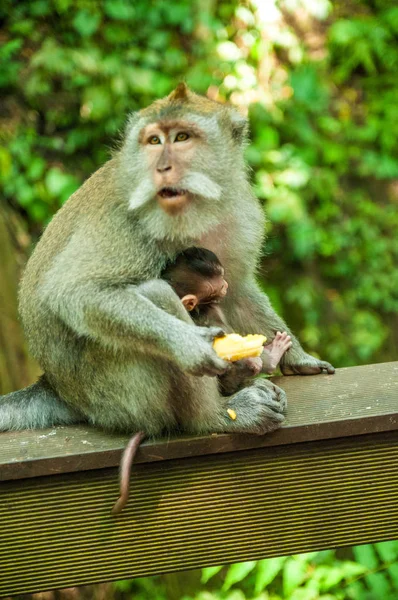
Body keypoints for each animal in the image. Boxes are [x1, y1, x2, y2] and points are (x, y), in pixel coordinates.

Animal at [0, 84, 332, 446]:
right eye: (154, 141)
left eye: (182, 137)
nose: (162, 168)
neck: (192, 212)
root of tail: (58, 388)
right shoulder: (124, 220)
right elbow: (74, 292)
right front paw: (191, 345)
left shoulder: (238, 213)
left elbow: (238, 290)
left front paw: (297, 356)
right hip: (117, 395)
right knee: (155, 294)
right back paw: (216, 415)